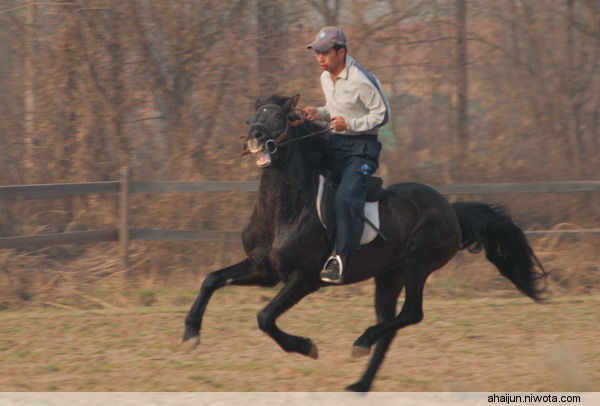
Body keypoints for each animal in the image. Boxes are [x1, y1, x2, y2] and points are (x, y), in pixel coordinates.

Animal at [182, 93, 544, 392]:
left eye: (279, 117)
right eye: (252, 118)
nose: (256, 138)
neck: (283, 210)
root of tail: (450, 209)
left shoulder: (304, 279)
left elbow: (265, 317)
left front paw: (306, 347)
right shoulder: (264, 270)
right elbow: (211, 280)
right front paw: (190, 335)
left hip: (417, 266)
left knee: (411, 314)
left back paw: (362, 342)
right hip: (389, 276)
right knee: (391, 325)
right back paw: (360, 383)